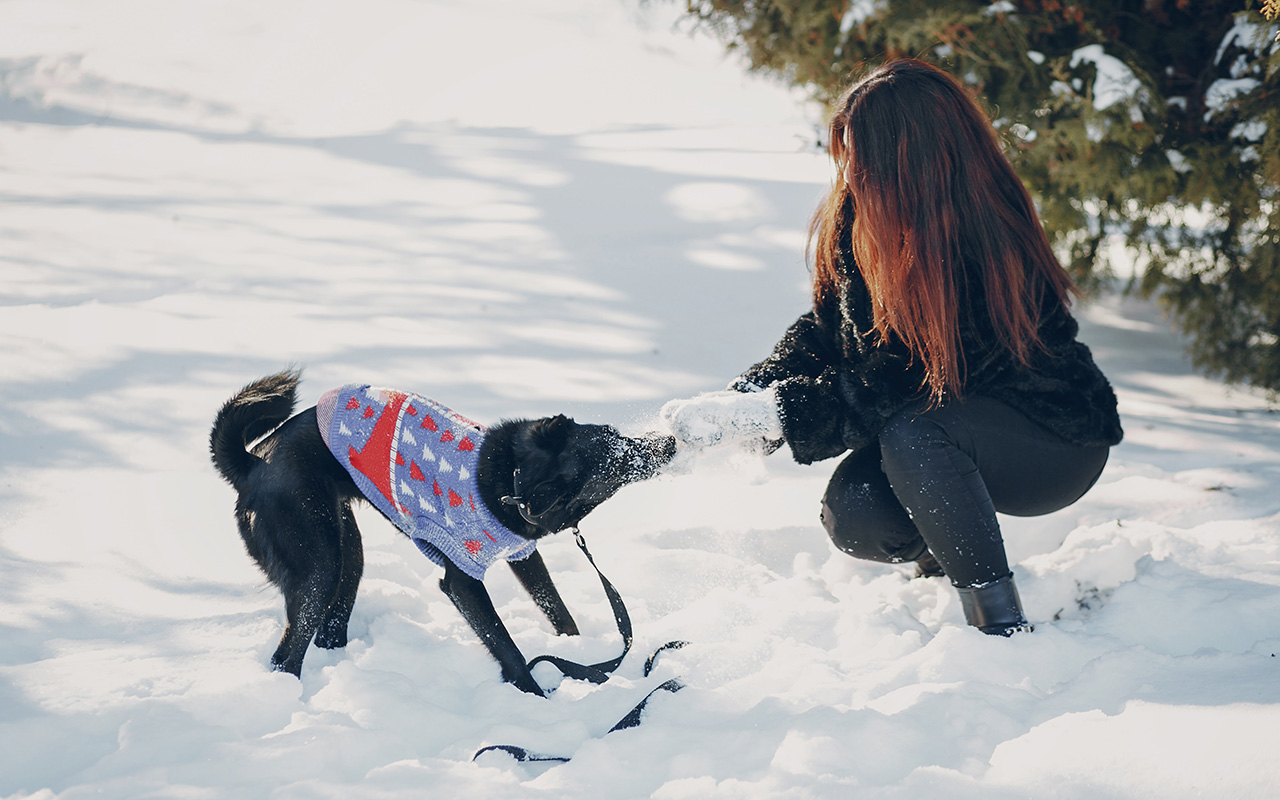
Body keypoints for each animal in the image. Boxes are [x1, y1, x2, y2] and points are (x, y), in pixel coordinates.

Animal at [212, 368, 670, 691]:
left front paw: (573, 652)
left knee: (330, 625)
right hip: (318, 564)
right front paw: (534, 695)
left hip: (346, 552)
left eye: (618, 437)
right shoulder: (462, 581)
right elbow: (506, 645)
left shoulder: (523, 554)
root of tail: (253, 462)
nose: (669, 444)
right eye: (617, 461)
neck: (513, 480)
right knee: (287, 655)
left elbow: (556, 607)